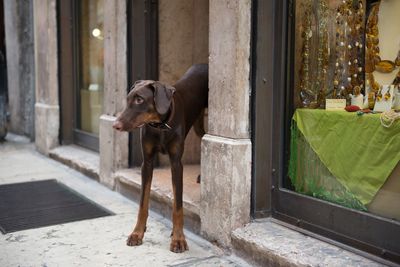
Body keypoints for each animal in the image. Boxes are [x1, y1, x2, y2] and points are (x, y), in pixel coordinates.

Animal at [111, 64, 208, 253]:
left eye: (139, 100)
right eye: (128, 99)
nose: (115, 125)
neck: (160, 125)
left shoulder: (176, 163)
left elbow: (178, 206)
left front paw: (178, 239)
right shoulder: (147, 163)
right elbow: (143, 203)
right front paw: (137, 233)